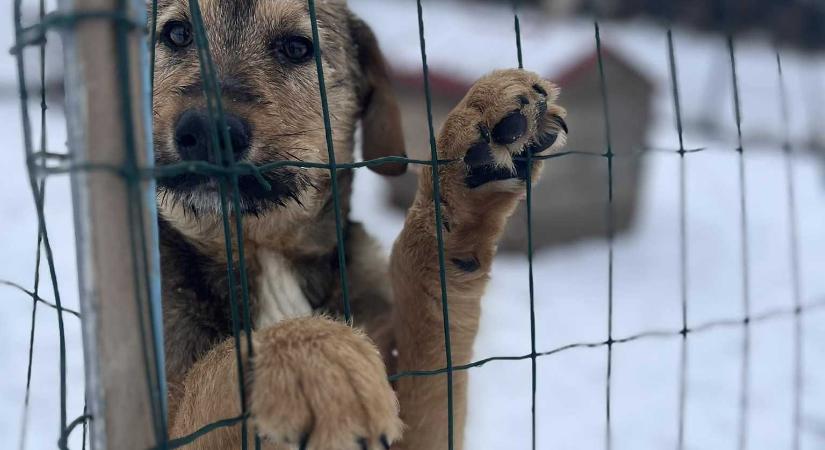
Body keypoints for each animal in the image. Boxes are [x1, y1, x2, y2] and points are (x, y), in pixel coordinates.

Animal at [150, 0, 568, 450]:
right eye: (177, 34)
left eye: (296, 47)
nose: (205, 130)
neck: (265, 247)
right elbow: (213, 376)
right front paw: (311, 354)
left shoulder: (425, 425)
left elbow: (429, 318)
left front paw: (466, 174)